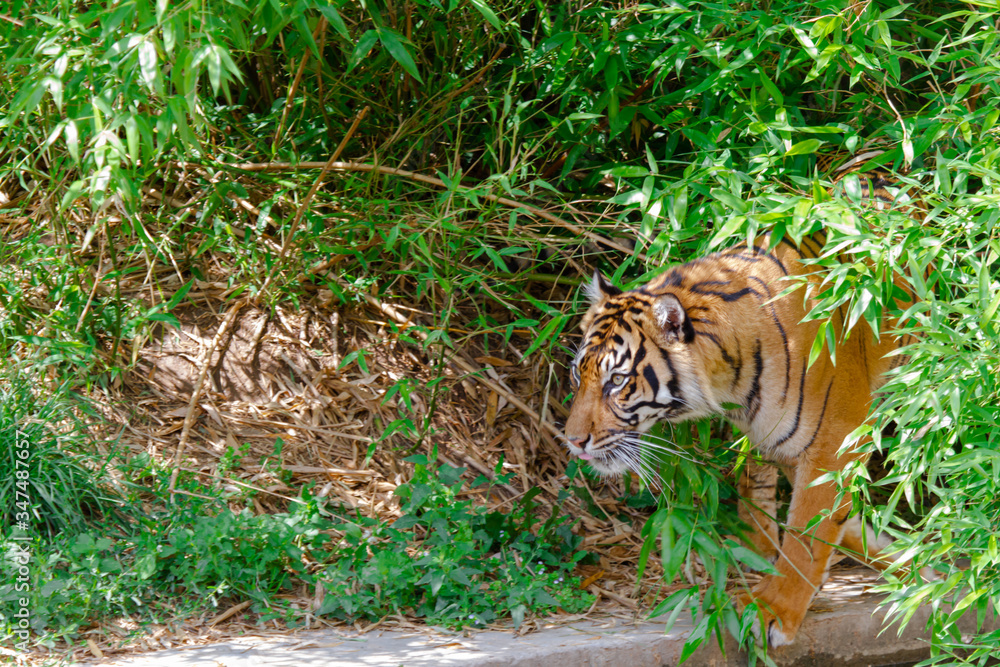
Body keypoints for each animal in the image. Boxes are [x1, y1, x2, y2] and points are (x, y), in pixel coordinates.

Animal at [563, 184, 918, 646]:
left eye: (617, 380)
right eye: (578, 374)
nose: (572, 441)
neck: (730, 377)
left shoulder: (833, 440)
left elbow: (807, 535)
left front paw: (772, 611)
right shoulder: (781, 441)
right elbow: (828, 518)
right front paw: (915, 564)